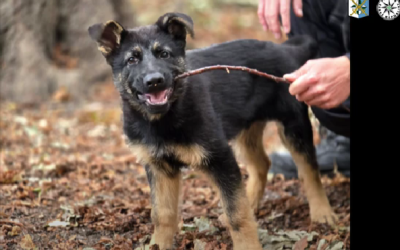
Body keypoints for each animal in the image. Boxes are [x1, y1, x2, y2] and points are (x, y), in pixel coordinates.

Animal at [88, 12, 338, 250]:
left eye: (164, 54)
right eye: (132, 60)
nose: (154, 81)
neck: (163, 118)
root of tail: (286, 49)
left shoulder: (220, 158)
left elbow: (237, 214)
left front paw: (247, 246)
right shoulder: (159, 168)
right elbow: (162, 214)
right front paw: (157, 245)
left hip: (293, 126)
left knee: (309, 169)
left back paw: (322, 212)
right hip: (246, 130)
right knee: (261, 165)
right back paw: (251, 201)